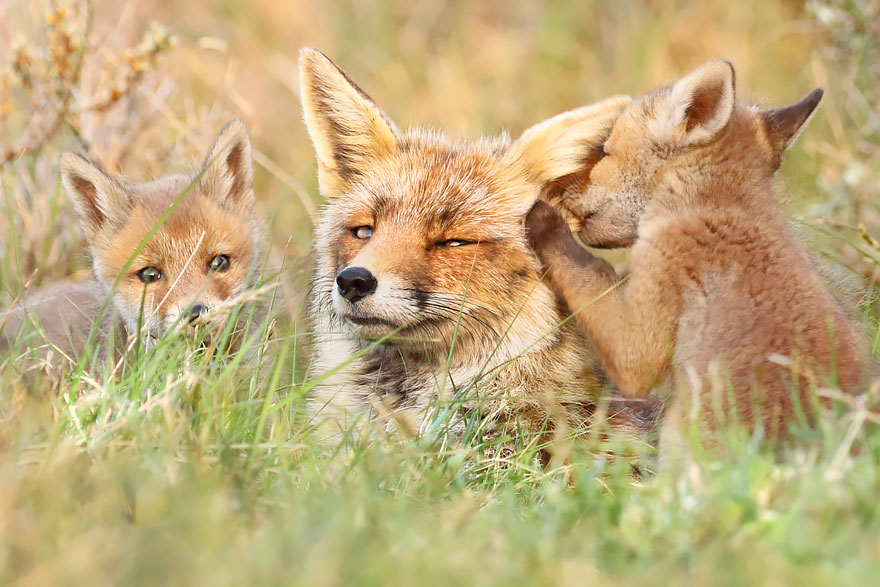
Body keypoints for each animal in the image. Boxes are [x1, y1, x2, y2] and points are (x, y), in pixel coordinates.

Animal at [525, 59, 867, 440]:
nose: (561, 187)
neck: (718, 207)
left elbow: (589, 273)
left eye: (605, 152)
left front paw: (542, 216)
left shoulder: (640, 333)